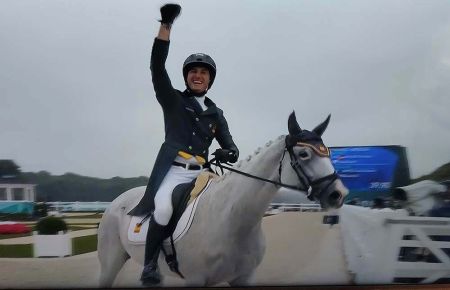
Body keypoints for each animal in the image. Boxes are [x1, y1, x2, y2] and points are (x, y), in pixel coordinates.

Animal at [96, 112, 348, 286]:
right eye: (304, 154)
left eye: (329, 153)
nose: (338, 194)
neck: (231, 219)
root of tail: (117, 202)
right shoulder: (195, 280)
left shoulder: (244, 278)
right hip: (110, 263)